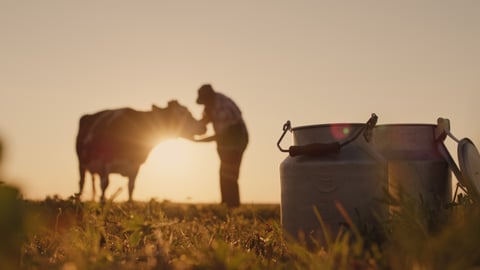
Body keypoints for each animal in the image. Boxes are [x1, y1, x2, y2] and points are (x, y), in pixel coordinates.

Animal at [74, 100, 205, 201]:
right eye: (182, 114)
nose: (202, 126)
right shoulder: (105, 163)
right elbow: (105, 187)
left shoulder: (135, 166)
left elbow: (131, 189)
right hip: (81, 163)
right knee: (81, 183)